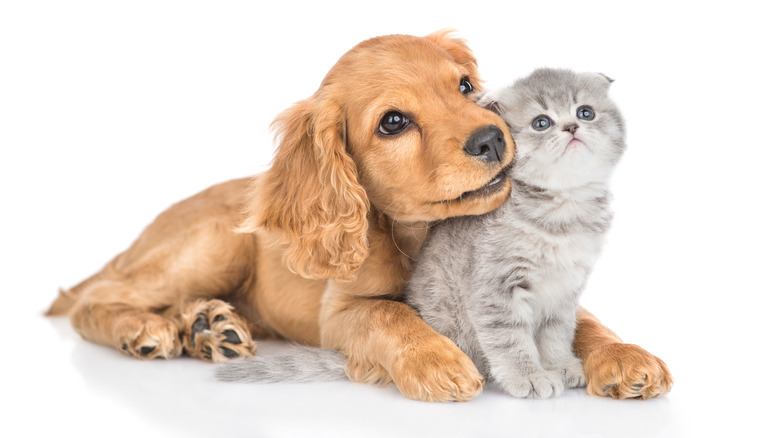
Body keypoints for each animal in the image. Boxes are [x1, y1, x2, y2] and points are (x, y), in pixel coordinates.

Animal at [215, 68, 628, 400]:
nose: (572, 127)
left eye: (586, 112)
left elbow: (557, 335)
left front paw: (561, 365)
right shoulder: (494, 290)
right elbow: (512, 342)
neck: (562, 210)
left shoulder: (564, 292)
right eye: (542, 122)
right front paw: (529, 377)